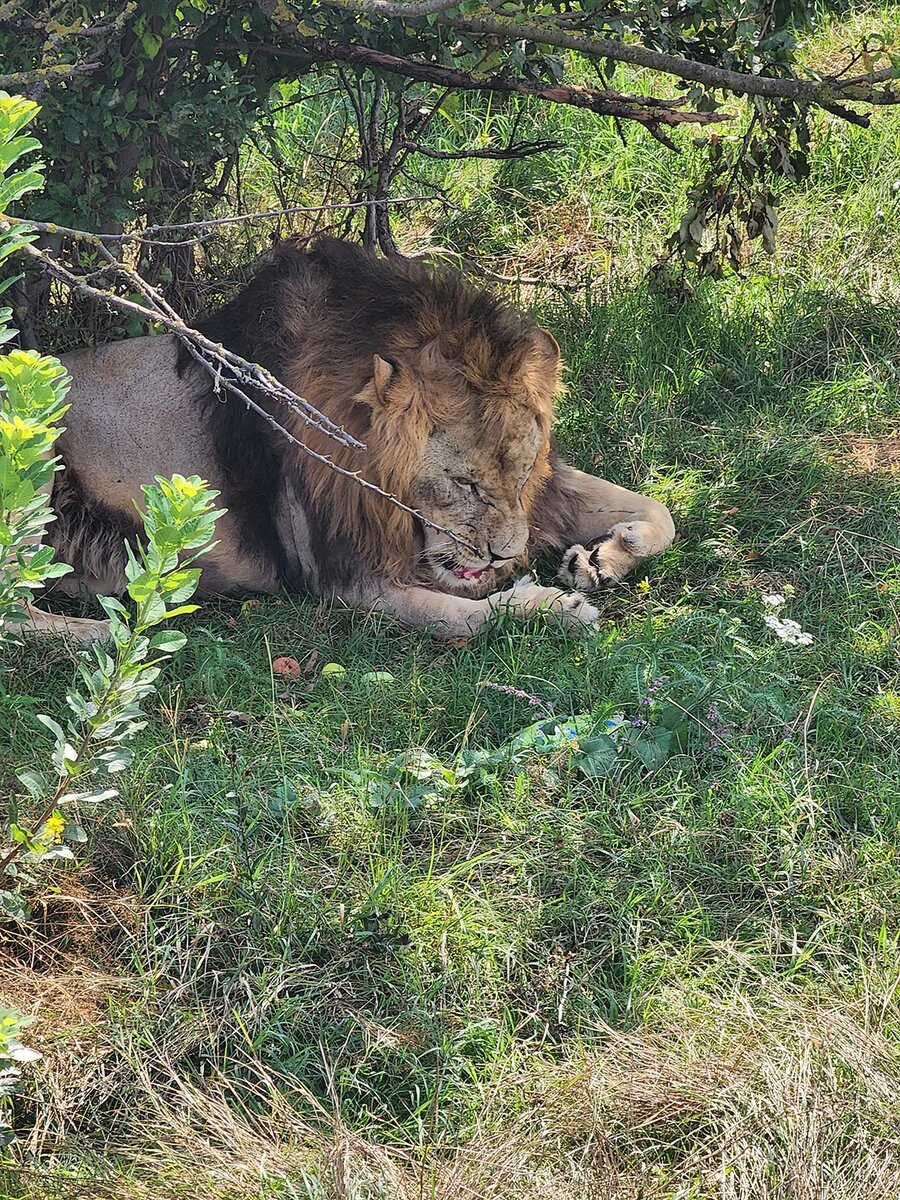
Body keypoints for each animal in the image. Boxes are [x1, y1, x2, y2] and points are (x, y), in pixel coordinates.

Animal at [23, 236, 675, 642]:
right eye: (463, 484)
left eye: (519, 480)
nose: (503, 556)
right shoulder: (347, 579)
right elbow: (475, 616)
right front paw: (556, 607)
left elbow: (659, 510)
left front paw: (602, 558)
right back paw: (102, 633)